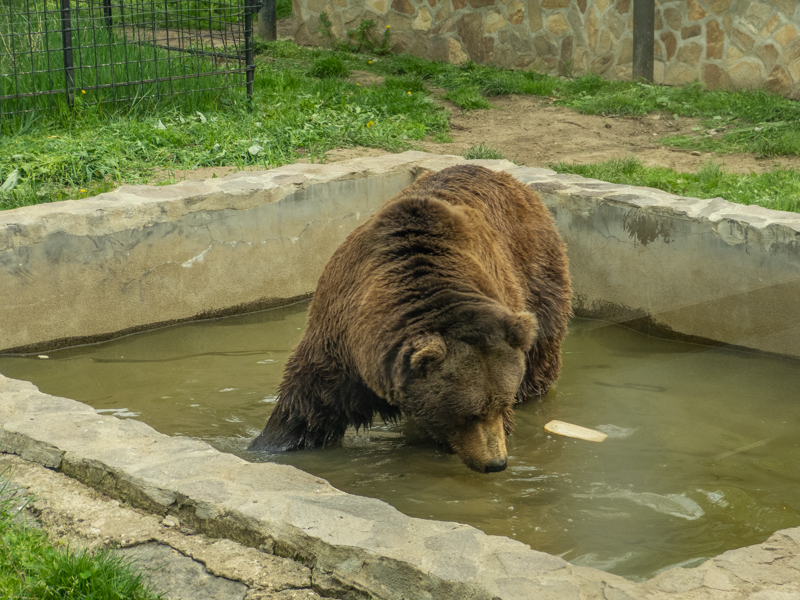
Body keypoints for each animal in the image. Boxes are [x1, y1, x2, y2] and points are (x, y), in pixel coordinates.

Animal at [248, 164, 572, 473]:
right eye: (470, 413)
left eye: (501, 406)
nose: (496, 463)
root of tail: (506, 177)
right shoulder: (339, 340)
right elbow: (308, 406)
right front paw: (270, 445)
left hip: (535, 269)